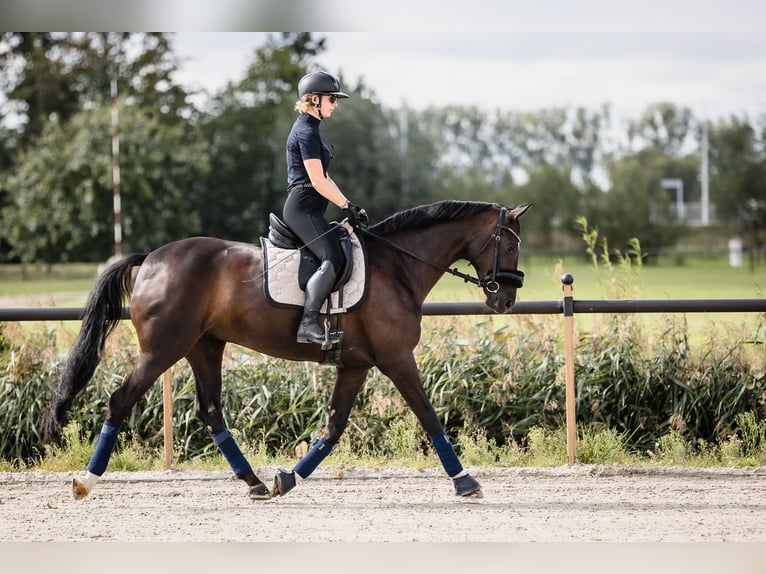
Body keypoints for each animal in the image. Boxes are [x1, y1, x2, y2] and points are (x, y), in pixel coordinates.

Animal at [45, 200, 532, 502]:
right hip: (163, 349)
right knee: (121, 400)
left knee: (210, 411)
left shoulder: (356, 365)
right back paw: (85, 481)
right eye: (509, 243)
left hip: (205, 346)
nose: (506, 301)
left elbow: (333, 429)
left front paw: (287, 478)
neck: (398, 266)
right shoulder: (397, 360)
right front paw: (466, 481)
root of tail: (150, 259)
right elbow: (429, 416)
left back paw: (256, 483)